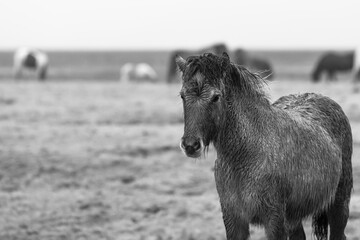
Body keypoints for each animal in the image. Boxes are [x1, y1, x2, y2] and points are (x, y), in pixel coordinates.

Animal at [176, 52, 352, 240]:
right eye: (182, 96)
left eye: (216, 97)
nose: (190, 145)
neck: (245, 156)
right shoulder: (234, 220)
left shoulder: (274, 221)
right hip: (294, 217)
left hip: (339, 204)